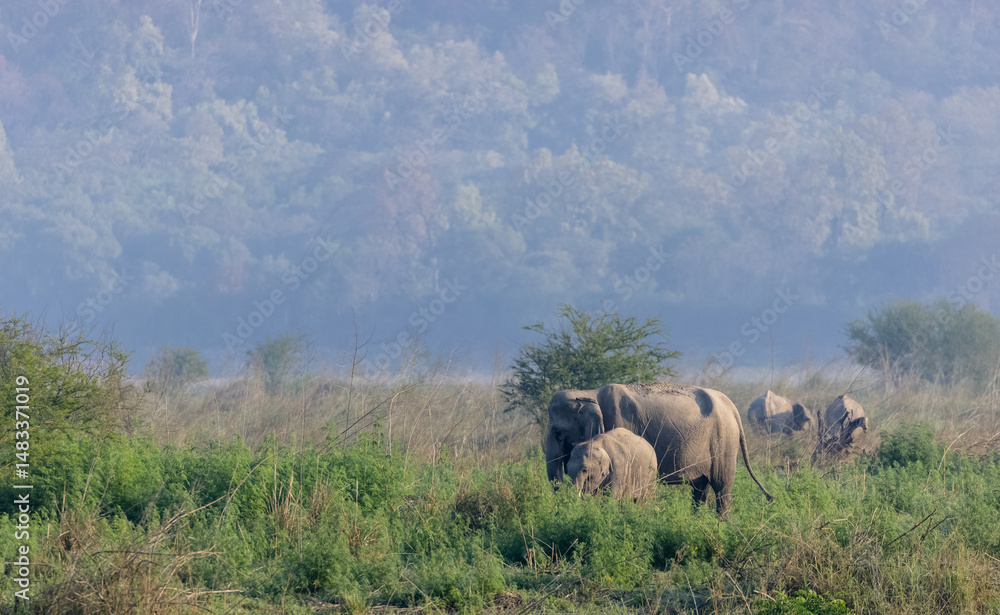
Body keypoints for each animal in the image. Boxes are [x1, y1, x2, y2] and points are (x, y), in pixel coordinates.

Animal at [546, 382, 774, 516]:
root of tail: (733, 408)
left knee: (721, 487)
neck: (588, 393)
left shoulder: (621, 421)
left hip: (724, 442)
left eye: (558, 432)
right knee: (700, 488)